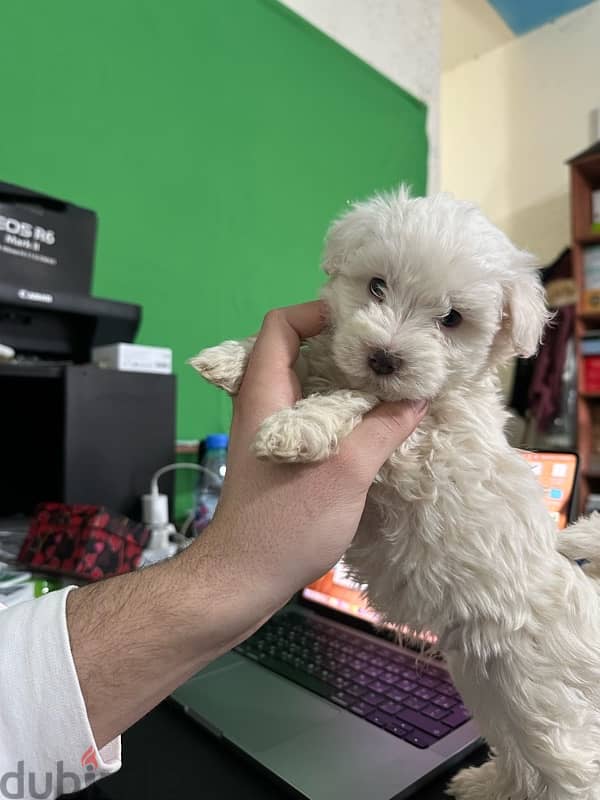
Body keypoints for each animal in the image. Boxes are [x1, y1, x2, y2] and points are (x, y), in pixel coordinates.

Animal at [190, 189, 600, 800]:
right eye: (377, 286)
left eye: (452, 318)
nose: (383, 357)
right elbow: (314, 357)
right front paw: (233, 358)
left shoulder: (423, 444)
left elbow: (356, 402)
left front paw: (297, 426)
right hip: (490, 690)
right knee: (522, 761)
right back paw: (482, 784)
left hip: (543, 701)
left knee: (570, 769)